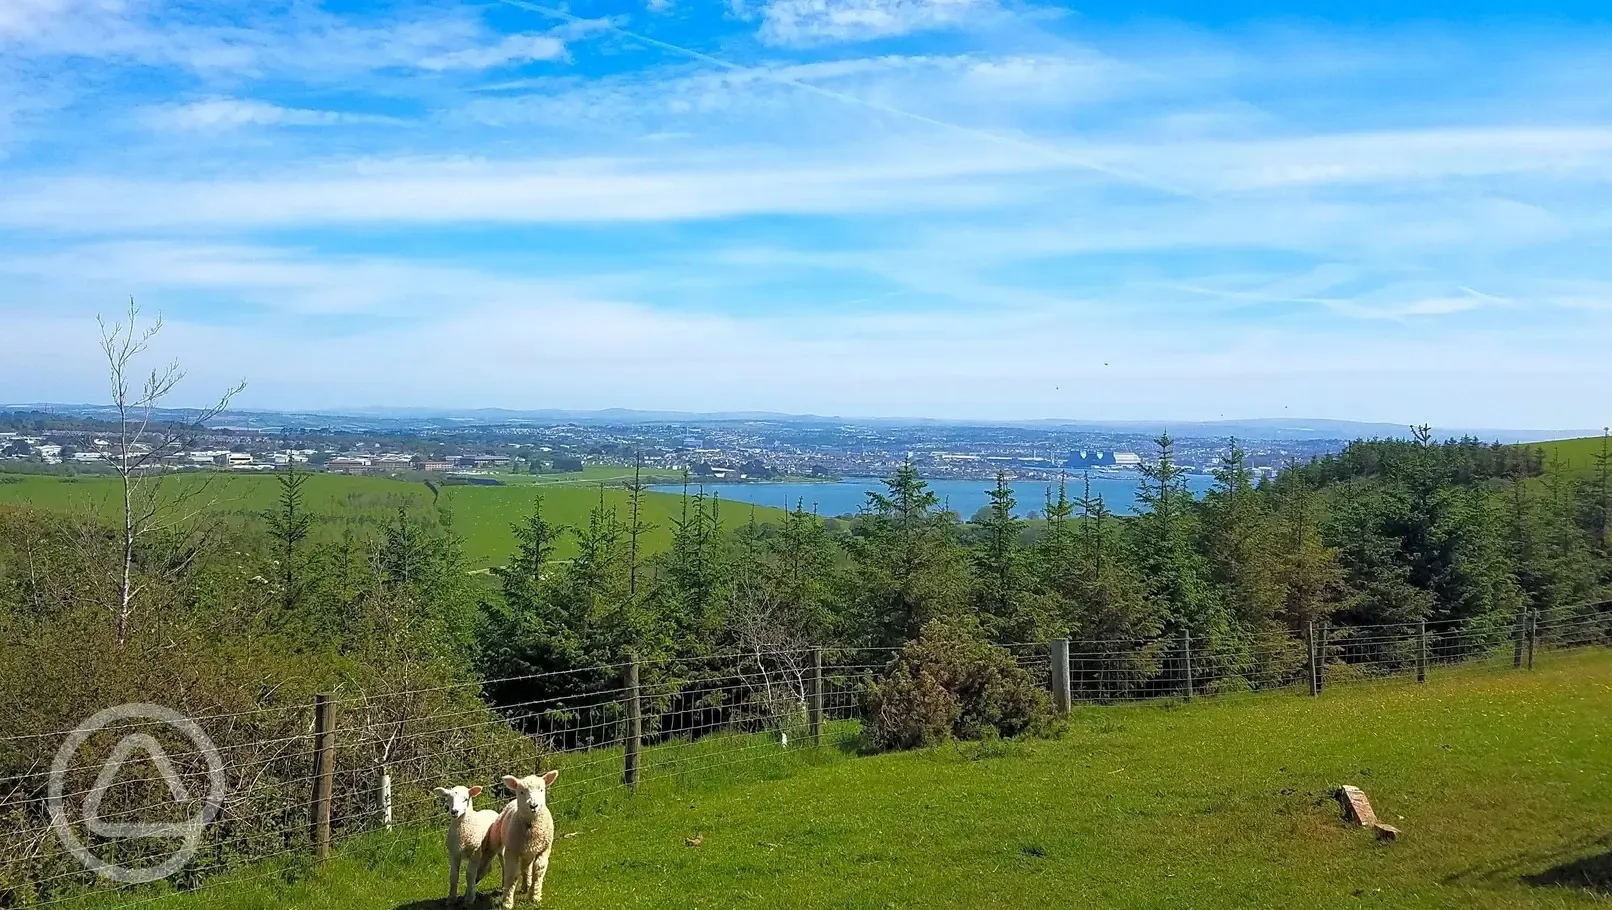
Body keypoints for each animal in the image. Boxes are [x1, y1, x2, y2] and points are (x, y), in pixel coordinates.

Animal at [493, 769, 564, 901]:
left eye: (541, 790)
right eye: (521, 792)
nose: (533, 806)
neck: (531, 826)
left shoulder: (545, 848)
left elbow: (539, 869)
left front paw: (535, 896)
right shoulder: (512, 850)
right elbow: (512, 874)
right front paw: (507, 901)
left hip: (528, 852)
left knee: (526, 867)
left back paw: (527, 885)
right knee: (512, 866)